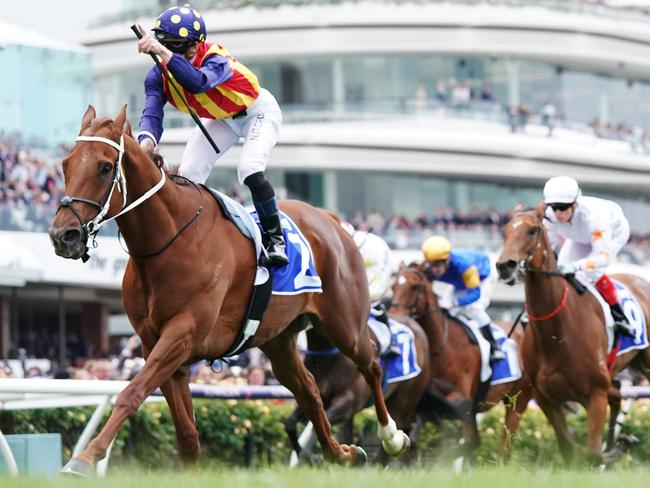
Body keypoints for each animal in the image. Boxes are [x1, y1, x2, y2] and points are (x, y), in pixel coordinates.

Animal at [48, 105, 408, 474]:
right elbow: (186, 431)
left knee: (371, 364)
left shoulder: (183, 333)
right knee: (309, 390)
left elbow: (131, 393)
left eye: (105, 167)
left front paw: (83, 459)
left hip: (344, 325)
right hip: (278, 340)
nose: (64, 236)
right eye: (66, 165)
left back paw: (392, 437)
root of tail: (331, 219)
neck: (167, 241)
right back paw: (342, 453)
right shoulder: (154, 344)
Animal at [284, 312, 430, 466]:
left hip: (404, 401)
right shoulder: (317, 395)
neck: (329, 356)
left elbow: (317, 426)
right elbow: (290, 423)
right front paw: (306, 455)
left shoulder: (347, 404)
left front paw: (311, 456)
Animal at [388, 264, 528, 458]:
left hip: (518, 399)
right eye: (393, 287)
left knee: (505, 442)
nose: (394, 315)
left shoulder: (461, 396)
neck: (442, 346)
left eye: (416, 287)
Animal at [494, 206, 648, 466]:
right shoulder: (546, 398)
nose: (505, 265)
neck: (557, 335)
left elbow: (592, 454)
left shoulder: (595, 394)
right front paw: (618, 445)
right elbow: (568, 447)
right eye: (504, 231)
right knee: (617, 393)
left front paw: (616, 448)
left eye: (532, 230)